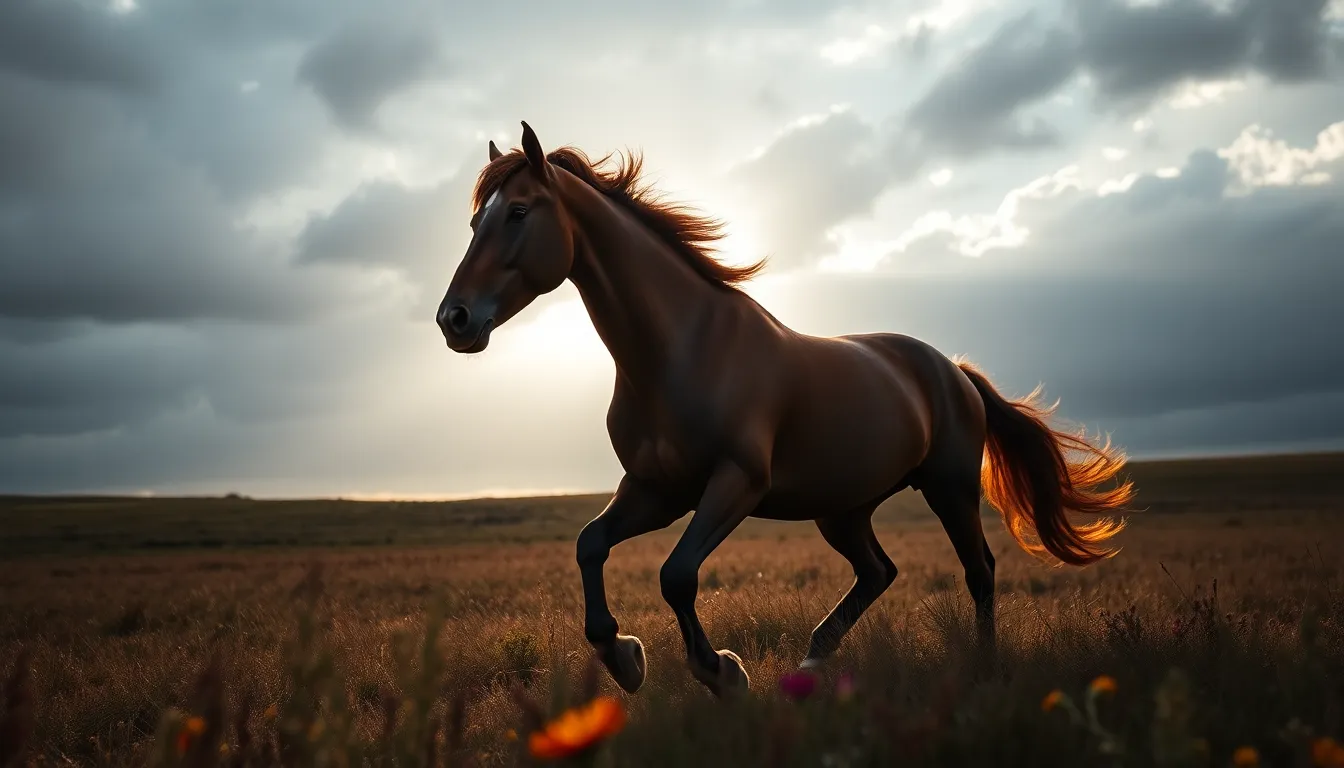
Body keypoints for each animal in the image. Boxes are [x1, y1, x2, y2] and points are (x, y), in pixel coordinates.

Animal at [436, 122, 1134, 698]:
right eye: (473, 225)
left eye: (518, 212)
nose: (455, 319)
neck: (682, 349)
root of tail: (953, 369)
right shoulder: (657, 489)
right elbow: (590, 545)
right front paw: (625, 658)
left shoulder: (736, 483)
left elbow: (676, 574)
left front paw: (721, 673)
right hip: (842, 508)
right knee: (879, 571)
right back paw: (813, 661)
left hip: (949, 487)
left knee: (978, 570)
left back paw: (984, 669)